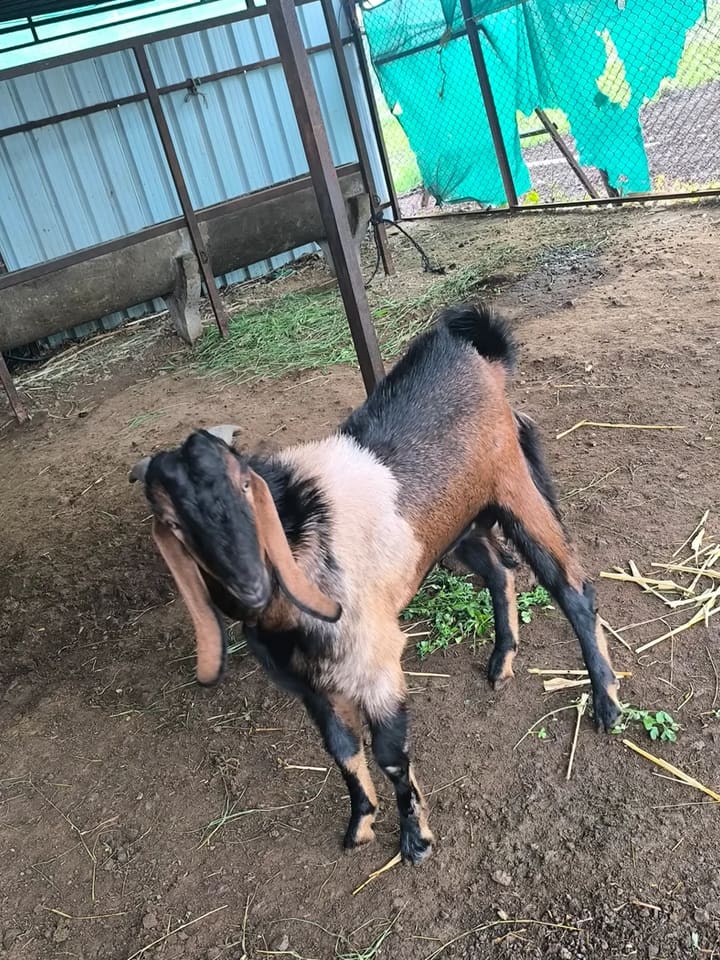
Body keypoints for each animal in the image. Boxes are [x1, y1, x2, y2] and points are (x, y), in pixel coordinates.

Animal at [130, 304, 620, 864]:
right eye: (173, 524)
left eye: (244, 488)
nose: (249, 587)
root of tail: (474, 354)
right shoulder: (310, 685)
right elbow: (341, 749)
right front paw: (361, 822)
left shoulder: (375, 663)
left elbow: (388, 754)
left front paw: (415, 839)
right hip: (455, 525)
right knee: (500, 571)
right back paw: (502, 661)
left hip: (515, 489)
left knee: (572, 590)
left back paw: (606, 703)